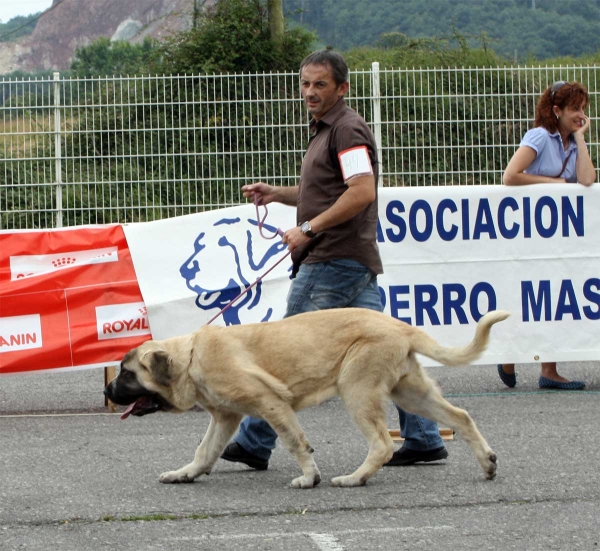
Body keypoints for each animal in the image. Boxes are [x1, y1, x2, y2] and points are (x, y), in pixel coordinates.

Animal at [105, 308, 508, 490]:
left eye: (127, 373)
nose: (107, 391)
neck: (190, 358)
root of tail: (402, 327)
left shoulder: (271, 403)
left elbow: (295, 442)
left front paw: (309, 477)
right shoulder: (225, 418)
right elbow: (204, 451)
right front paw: (185, 473)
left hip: (357, 389)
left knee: (382, 444)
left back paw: (354, 478)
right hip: (410, 393)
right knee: (460, 417)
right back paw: (487, 463)